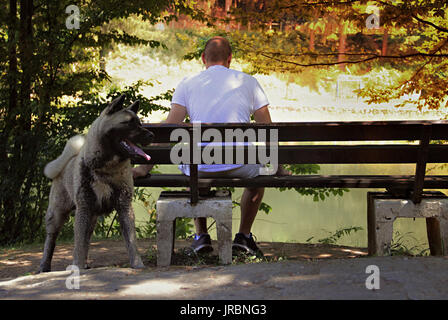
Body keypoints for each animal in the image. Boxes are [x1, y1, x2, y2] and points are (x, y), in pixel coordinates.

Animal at [39, 95, 154, 272]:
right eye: (129, 123)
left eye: (140, 123)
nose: (152, 135)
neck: (106, 169)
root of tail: (67, 162)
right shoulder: (83, 208)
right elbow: (78, 243)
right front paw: (77, 265)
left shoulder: (124, 207)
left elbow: (131, 241)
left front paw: (137, 264)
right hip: (57, 214)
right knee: (51, 240)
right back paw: (44, 265)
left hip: (91, 217)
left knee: (86, 239)